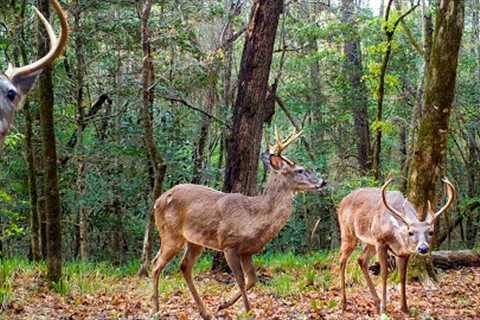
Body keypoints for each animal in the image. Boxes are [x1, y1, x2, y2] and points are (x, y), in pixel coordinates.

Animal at [152, 129, 328, 318]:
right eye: (300, 170)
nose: (323, 181)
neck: (254, 217)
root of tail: (157, 201)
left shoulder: (246, 251)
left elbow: (252, 280)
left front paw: (223, 305)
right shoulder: (229, 244)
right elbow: (241, 280)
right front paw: (247, 311)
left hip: (194, 241)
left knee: (184, 266)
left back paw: (204, 312)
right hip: (171, 233)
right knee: (156, 265)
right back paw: (156, 309)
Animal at [336, 179, 456, 314]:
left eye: (430, 232)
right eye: (411, 232)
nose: (423, 248)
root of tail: (341, 202)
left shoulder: (403, 253)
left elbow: (403, 276)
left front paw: (404, 308)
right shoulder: (380, 241)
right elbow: (384, 273)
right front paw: (384, 308)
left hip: (370, 242)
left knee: (361, 259)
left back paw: (376, 303)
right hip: (348, 232)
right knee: (342, 260)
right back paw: (344, 304)